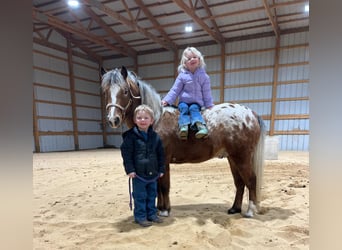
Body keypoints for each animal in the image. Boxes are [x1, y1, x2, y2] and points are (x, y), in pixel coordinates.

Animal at [100, 66, 266, 217]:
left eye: (125, 91)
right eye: (105, 92)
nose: (113, 119)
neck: (156, 120)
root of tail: (250, 114)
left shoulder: (163, 161)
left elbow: (164, 186)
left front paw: (165, 210)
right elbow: (158, 187)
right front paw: (160, 209)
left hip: (242, 157)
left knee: (251, 180)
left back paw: (250, 211)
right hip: (232, 158)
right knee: (240, 183)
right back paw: (234, 209)